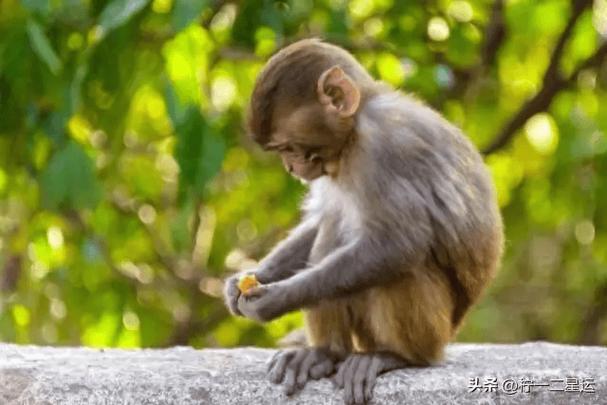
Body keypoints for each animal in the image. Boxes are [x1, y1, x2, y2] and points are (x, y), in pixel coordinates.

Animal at [223, 38, 504, 404]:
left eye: (289, 146)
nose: (291, 166)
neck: (353, 133)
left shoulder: (386, 145)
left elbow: (399, 244)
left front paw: (276, 298)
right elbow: (321, 218)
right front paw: (248, 279)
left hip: (434, 331)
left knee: (399, 269)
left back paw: (394, 356)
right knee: (332, 230)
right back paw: (325, 353)